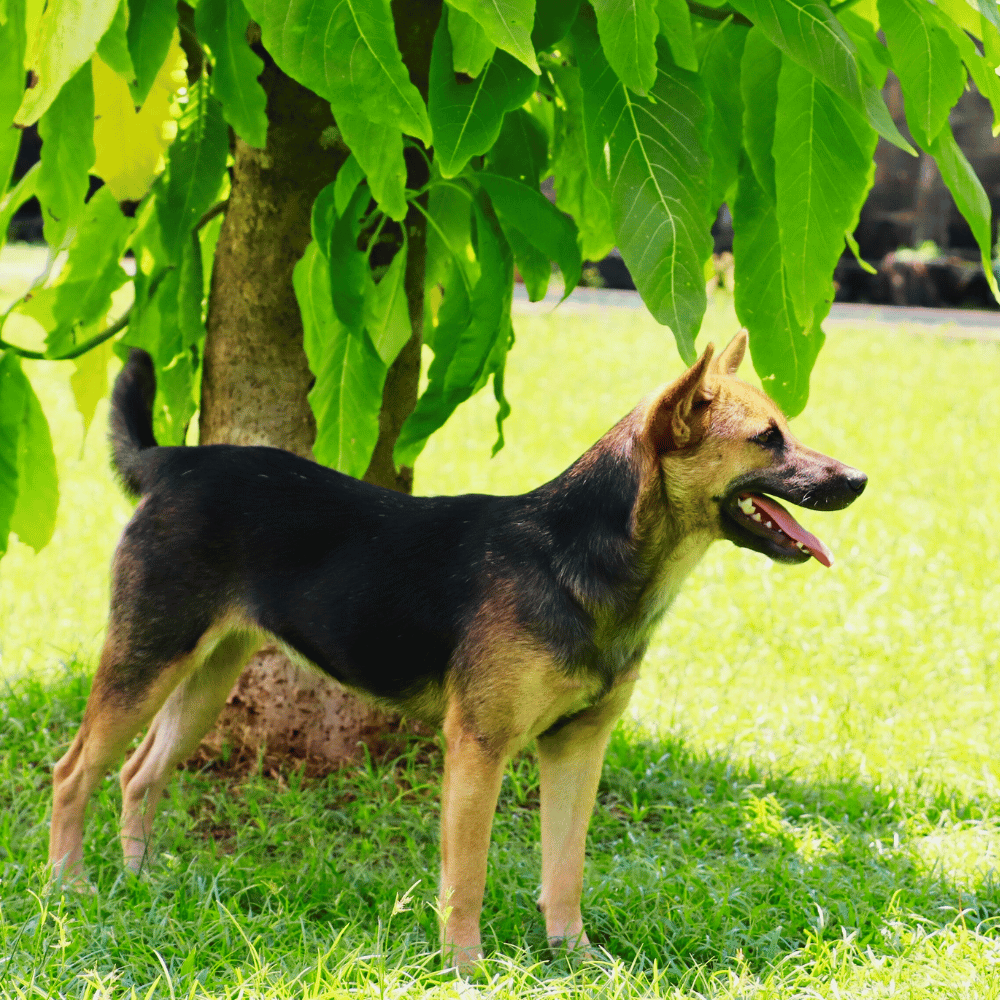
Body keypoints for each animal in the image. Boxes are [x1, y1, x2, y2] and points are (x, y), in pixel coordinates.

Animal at [45, 334, 860, 968]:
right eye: (767, 439)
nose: (858, 479)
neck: (580, 558)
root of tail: (172, 463)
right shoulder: (480, 745)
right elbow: (465, 875)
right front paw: (465, 966)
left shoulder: (577, 749)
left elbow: (566, 868)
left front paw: (575, 957)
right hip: (146, 661)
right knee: (73, 771)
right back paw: (69, 890)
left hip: (205, 674)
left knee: (139, 775)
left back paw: (140, 882)